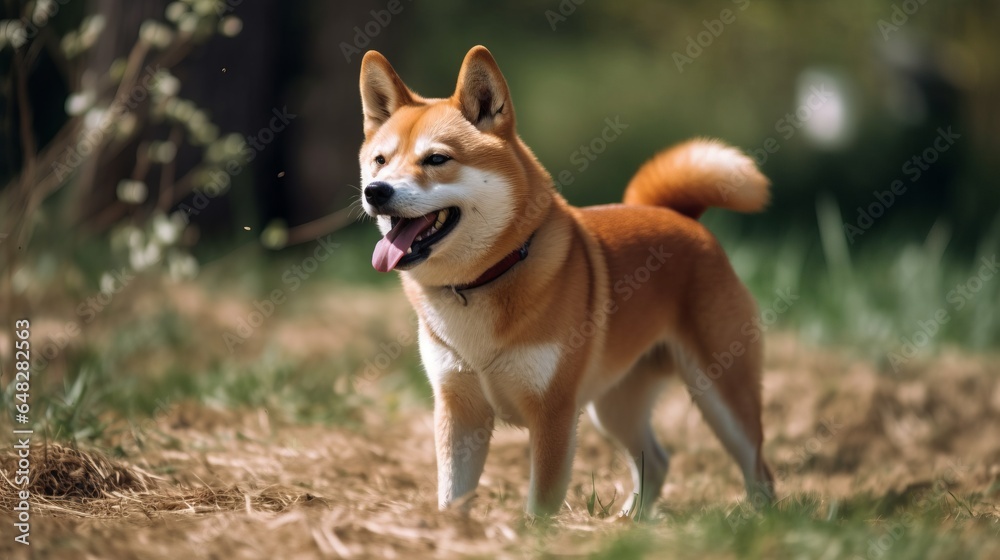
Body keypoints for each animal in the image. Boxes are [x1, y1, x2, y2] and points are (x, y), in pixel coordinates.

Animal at [358, 47, 772, 516]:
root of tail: (679, 217)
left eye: (436, 159)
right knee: (657, 461)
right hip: (614, 406)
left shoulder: (553, 412)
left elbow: (541, 504)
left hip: (723, 393)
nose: (376, 191)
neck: (485, 279)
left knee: (758, 470)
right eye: (380, 160)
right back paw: (630, 522)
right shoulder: (457, 410)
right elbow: (452, 497)